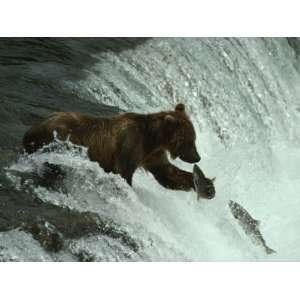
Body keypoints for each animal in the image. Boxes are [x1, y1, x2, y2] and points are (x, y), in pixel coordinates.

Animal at [23, 104, 200, 191]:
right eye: (191, 141)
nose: (197, 157)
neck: (153, 137)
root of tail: (33, 129)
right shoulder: (131, 145)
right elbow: (123, 173)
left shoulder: (152, 154)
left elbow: (166, 172)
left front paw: (200, 182)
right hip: (59, 141)